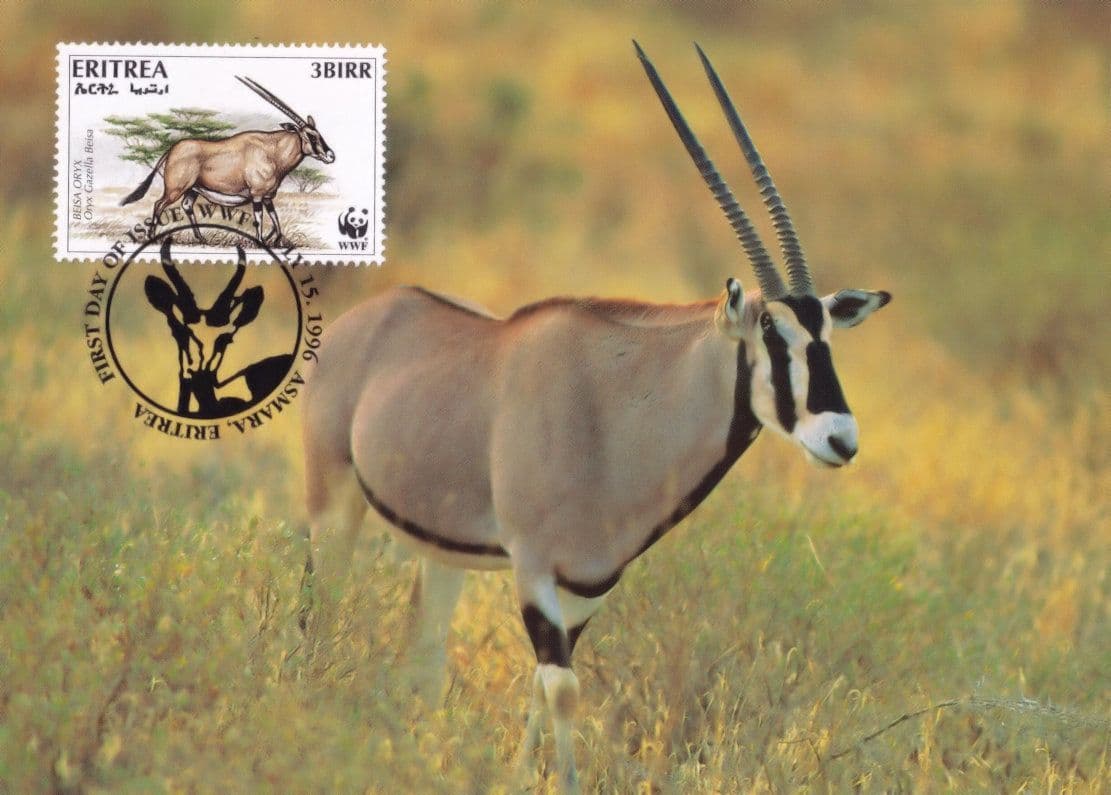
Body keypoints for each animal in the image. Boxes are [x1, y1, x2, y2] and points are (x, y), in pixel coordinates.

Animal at [120, 77, 335, 246]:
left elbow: (275, 219)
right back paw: (152, 238)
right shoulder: (257, 195)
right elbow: (259, 219)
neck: (272, 150)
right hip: (175, 189)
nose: (331, 155)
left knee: (186, 206)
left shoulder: (268, 196)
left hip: (192, 190)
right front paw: (261, 242)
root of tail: (172, 150)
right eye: (310, 135)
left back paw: (201, 238)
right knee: (158, 204)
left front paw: (277, 240)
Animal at [299, 43, 891, 792]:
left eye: (826, 337)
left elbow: (538, 687)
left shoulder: (589, 586)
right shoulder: (533, 569)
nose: (840, 438)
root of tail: (368, 316)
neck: (615, 405)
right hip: (334, 502)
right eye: (771, 334)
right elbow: (561, 690)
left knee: (423, 657)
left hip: (441, 553)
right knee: (321, 610)